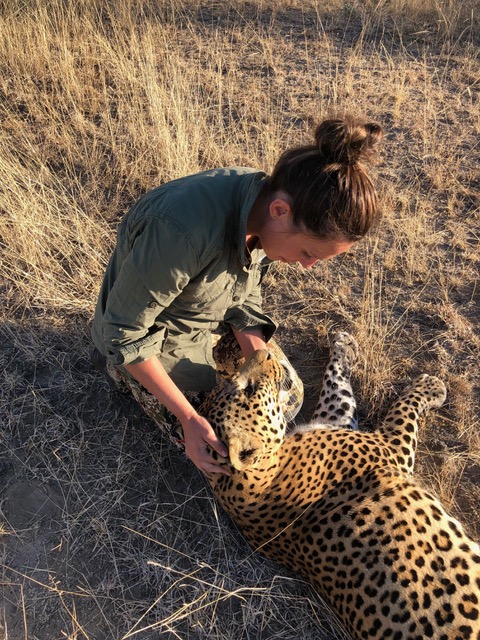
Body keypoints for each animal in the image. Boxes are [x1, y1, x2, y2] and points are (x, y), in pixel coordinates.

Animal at [201, 336, 480, 640]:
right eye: (248, 390)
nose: (264, 353)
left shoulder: (334, 418)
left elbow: (335, 388)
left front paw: (343, 346)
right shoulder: (389, 447)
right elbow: (402, 408)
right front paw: (430, 386)